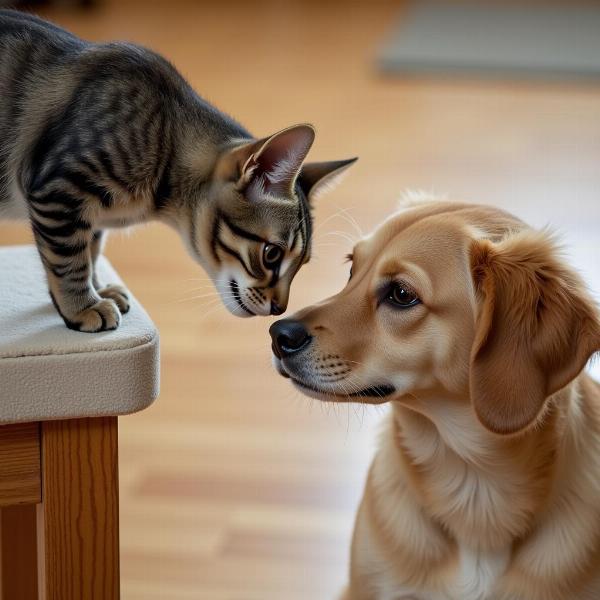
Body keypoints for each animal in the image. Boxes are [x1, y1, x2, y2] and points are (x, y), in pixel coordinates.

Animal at [0, 10, 356, 332]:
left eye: (302, 264)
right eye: (271, 255)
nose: (279, 309)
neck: (167, 135)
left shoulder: (85, 213)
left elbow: (91, 248)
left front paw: (98, 288)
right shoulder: (60, 191)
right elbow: (69, 260)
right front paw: (82, 305)